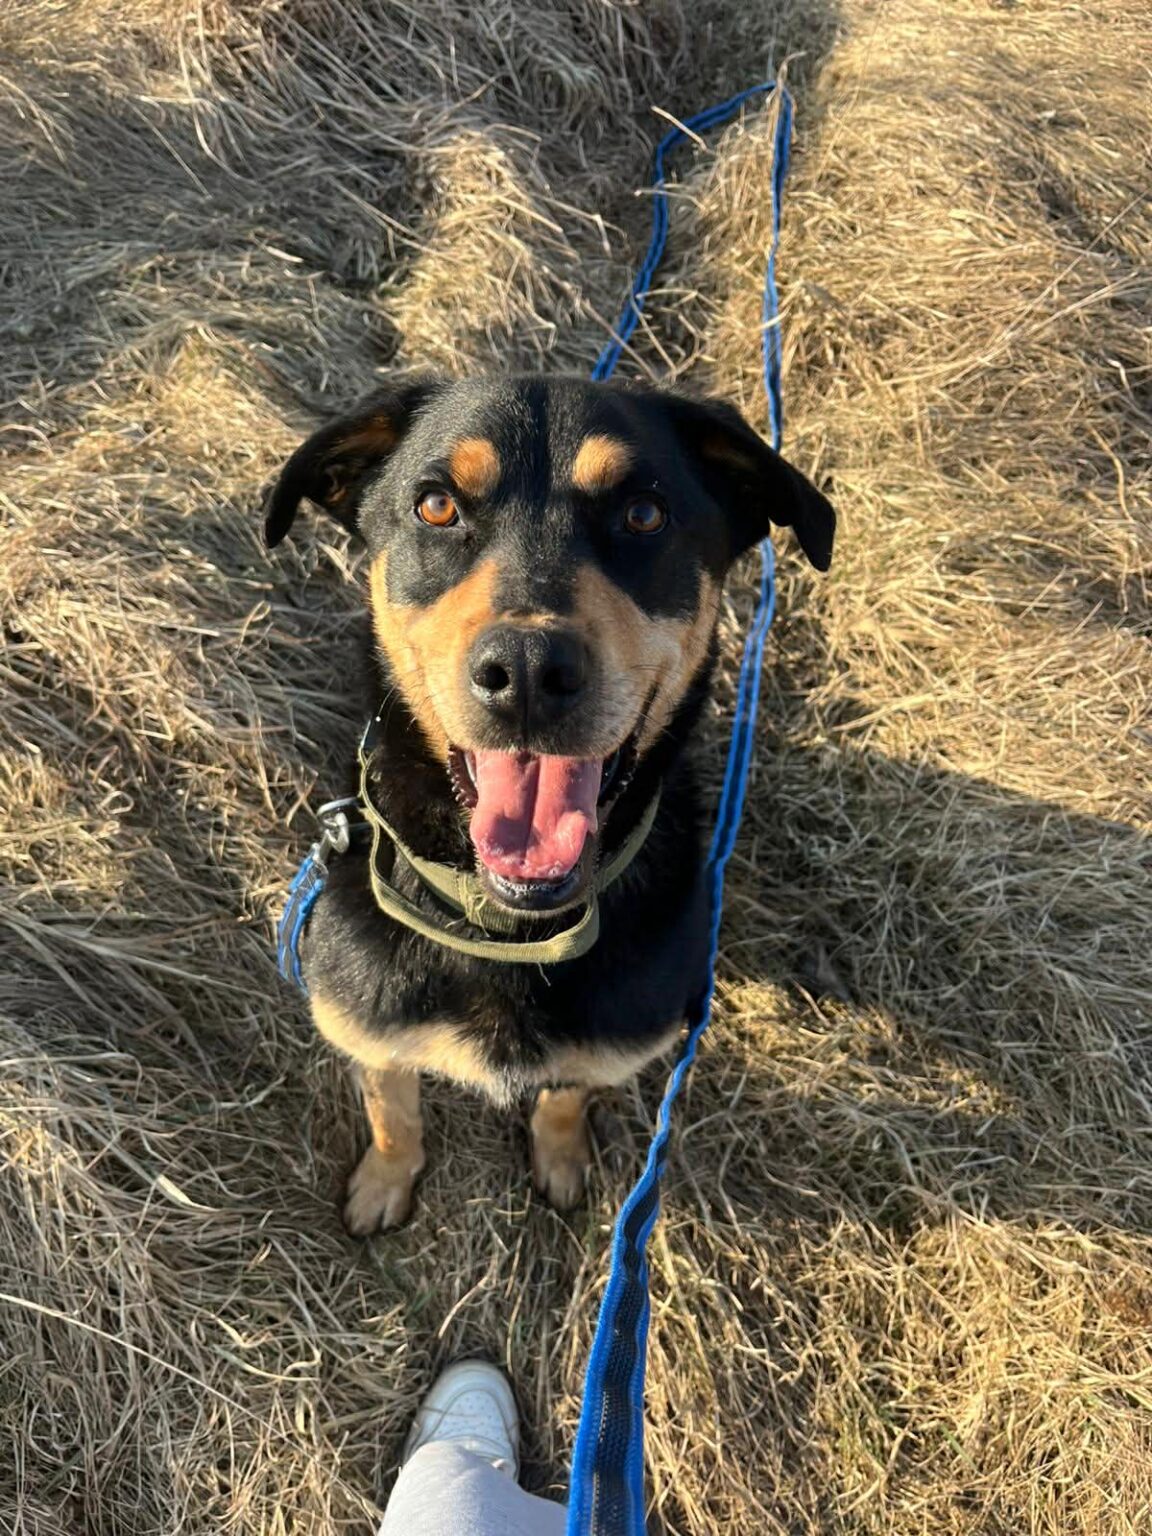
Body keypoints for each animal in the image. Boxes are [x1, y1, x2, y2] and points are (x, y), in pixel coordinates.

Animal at [264, 374, 834, 1233]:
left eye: (644, 513)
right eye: (436, 505)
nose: (529, 669)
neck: (509, 933)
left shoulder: (609, 1042)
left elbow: (564, 1097)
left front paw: (561, 1161)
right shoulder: (365, 1024)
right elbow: (393, 1110)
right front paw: (384, 1184)